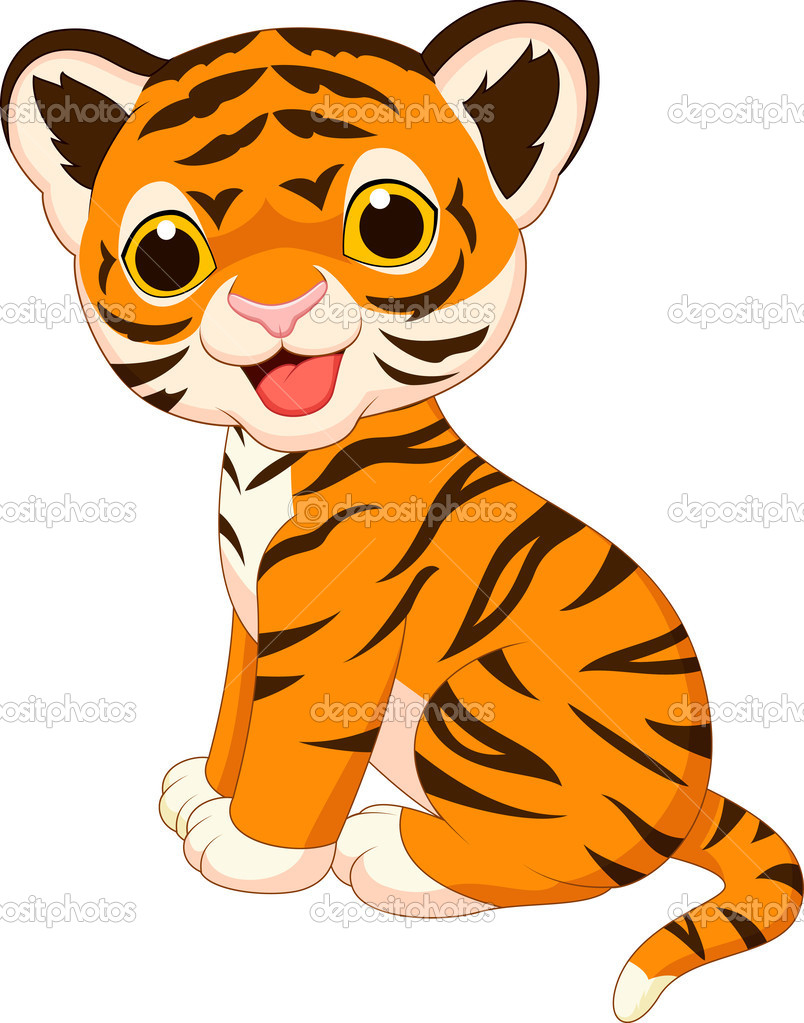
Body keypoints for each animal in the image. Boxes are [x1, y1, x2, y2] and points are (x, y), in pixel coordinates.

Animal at [2, 3, 800, 1019]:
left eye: (389, 224)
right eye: (167, 254)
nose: (275, 302)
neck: (267, 460)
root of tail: (695, 794)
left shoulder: (332, 629)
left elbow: (295, 746)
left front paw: (252, 849)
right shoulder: (251, 618)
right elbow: (238, 710)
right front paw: (206, 788)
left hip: (485, 700)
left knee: (577, 860)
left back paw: (387, 850)